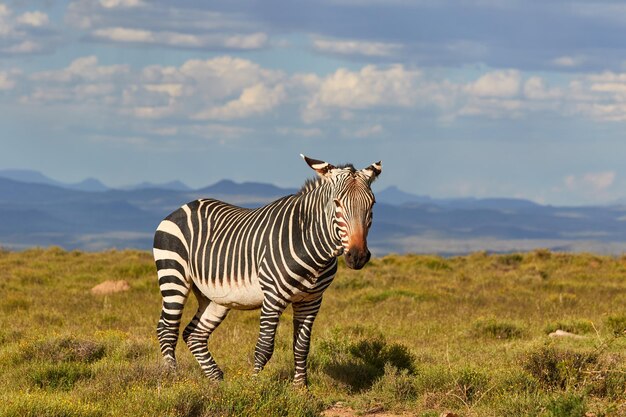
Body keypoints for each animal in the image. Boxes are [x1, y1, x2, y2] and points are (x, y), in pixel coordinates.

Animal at [154, 154, 380, 386]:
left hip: (215, 297)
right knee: (167, 330)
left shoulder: (311, 300)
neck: (312, 248)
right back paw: (173, 378)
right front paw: (253, 386)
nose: (358, 256)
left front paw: (301, 388)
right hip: (174, 276)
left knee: (193, 334)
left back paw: (217, 380)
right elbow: (264, 348)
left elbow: (301, 347)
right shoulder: (273, 296)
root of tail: (183, 207)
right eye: (337, 203)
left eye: (371, 204)